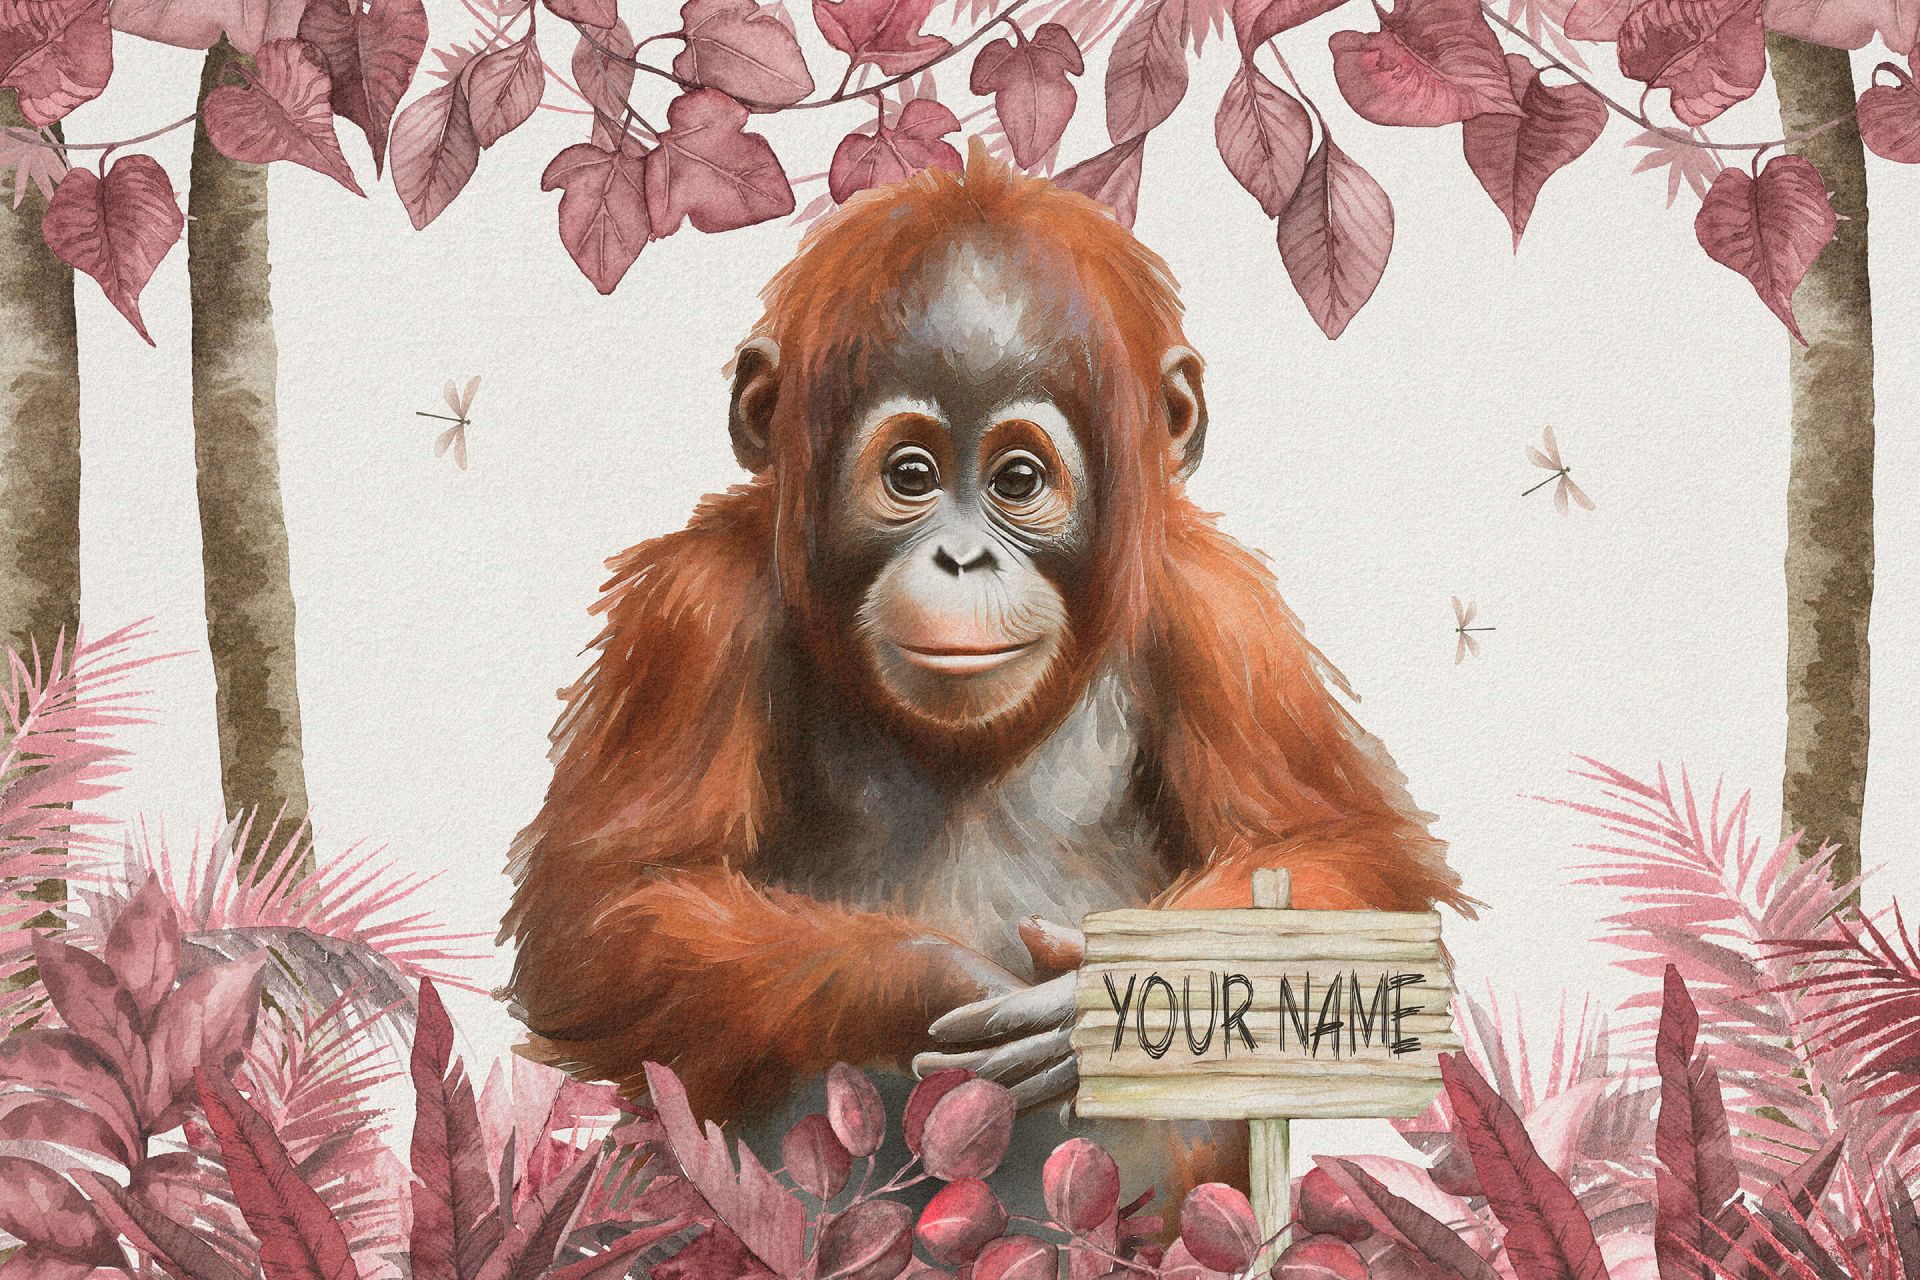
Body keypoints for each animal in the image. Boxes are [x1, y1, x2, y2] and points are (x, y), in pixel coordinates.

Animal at [499, 141, 1471, 1211]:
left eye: (1016, 481)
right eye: (912, 476)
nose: (962, 558)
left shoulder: (1226, 618)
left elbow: (1347, 859)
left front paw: (1091, 991)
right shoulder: (690, 613)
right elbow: (608, 911)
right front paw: (937, 979)